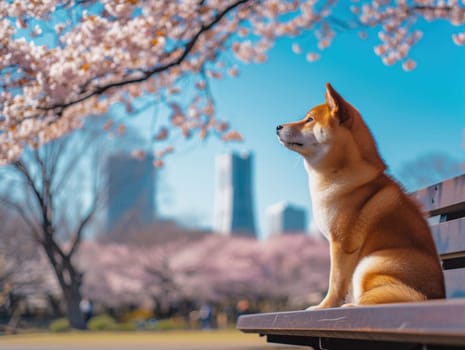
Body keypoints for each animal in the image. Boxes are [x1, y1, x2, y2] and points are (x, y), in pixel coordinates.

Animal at [278, 83, 444, 308]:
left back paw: (353, 305)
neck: (338, 174)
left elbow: (335, 282)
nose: (277, 126)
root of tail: (433, 297)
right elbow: (344, 285)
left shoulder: (341, 244)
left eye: (309, 119)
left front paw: (325, 307)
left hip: (372, 262)